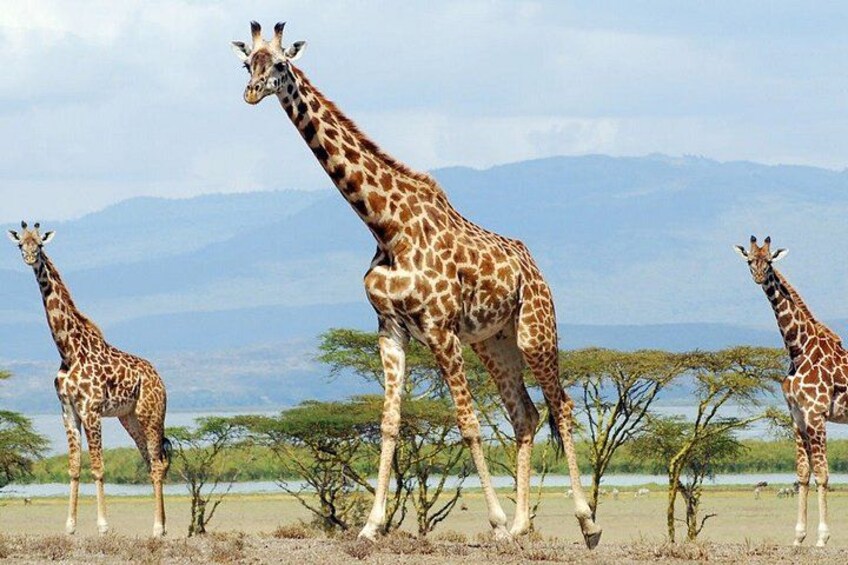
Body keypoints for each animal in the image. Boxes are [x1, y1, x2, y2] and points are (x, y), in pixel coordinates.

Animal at [6, 222, 170, 537]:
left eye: (40, 245)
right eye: (21, 244)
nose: (30, 257)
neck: (68, 350)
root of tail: (159, 379)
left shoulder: (91, 410)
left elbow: (98, 467)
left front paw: (103, 525)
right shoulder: (68, 410)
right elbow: (74, 466)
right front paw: (69, 526)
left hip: (151, 415)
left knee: (157, 463)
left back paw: (158, 528)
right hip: (129, 418)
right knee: (151, 461)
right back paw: (161, 525)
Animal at [231, 21, 602, 547]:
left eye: (280, 64)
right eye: (248, 63)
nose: (251, 91)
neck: (385, 226)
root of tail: (533, 266)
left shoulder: (440, 328)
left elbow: (467, 422)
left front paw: (494, 522)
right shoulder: (391, 328)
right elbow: (389, 422)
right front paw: (370, 526)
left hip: (535, 330)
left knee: (562, 405)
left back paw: (586, 523)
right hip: (494, 342)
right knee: (524, 415)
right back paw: (522, 524)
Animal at [735, 235, 848, 547]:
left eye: (770, 261)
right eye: (750, 260)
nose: (759, 276)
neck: (798, 348)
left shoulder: (816, 413)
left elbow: (822, 473)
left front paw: (822, 538)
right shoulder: (797, 415)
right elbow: (803, 473)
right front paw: (798, 536)